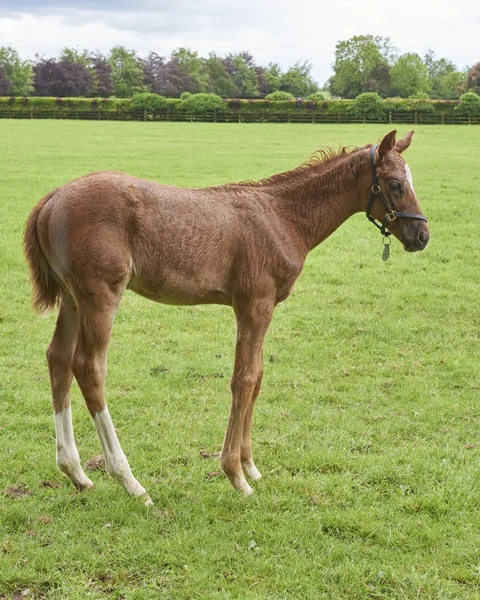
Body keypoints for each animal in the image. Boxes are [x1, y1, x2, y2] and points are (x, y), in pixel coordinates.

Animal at [23, 129, 428, 504]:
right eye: (395, 184)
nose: (422, 235)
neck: (283, 217)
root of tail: (50, 199)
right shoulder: (254, 303)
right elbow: (243, 380)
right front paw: (236, 475)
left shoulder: (263, 308)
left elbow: (258, 377)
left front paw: (251, 466)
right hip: (100, 295)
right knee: (89, 367)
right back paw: (130, 482)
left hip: (72, 298)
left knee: (58, 358)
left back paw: (76, 472)